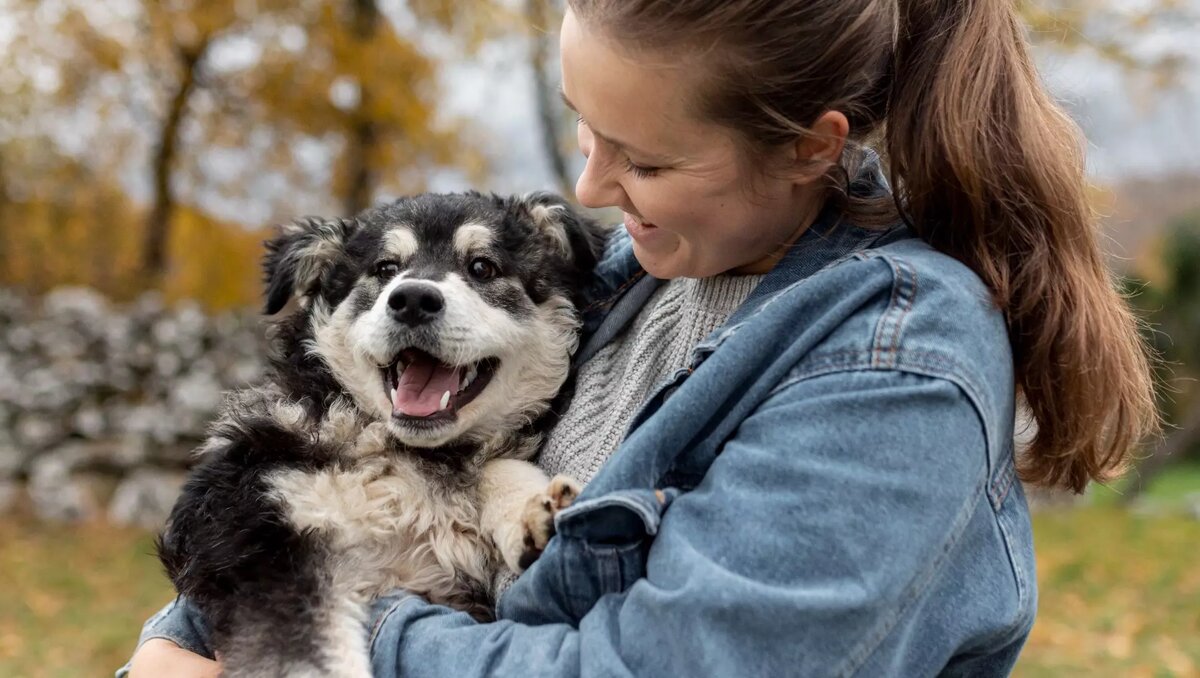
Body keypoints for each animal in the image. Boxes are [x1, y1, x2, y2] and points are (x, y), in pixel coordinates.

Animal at [158, 190, 604, 676]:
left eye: (482, 267)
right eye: (386, 268)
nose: (412, 299)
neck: (406, 456)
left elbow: (495, 464)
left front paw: (528, 504)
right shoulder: (258, 535)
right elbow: (313, 657)